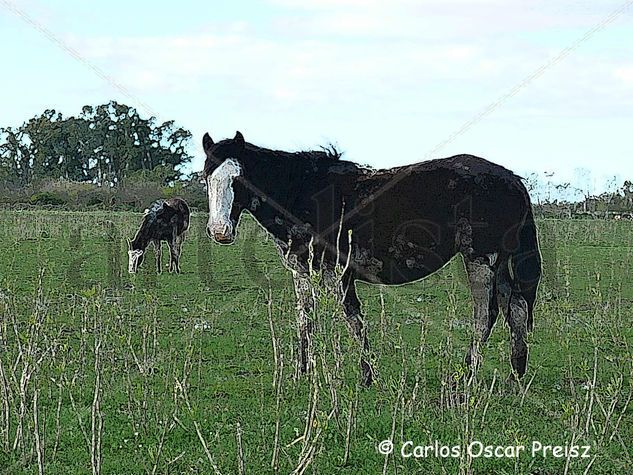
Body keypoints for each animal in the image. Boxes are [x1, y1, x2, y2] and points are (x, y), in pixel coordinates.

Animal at [202, 131, 540, 386]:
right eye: (206, 178)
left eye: (239, 180)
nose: (220, 231)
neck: (304, 192)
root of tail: (514, 180)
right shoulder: (302, 270)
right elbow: (305, 320)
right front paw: (302, 372)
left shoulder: (338, 272)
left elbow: (353, 319)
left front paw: (367, 377)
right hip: (498, 264)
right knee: (516, 308)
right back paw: (515, 375)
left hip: (481, 260)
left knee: (486, 314)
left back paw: (466, 376)